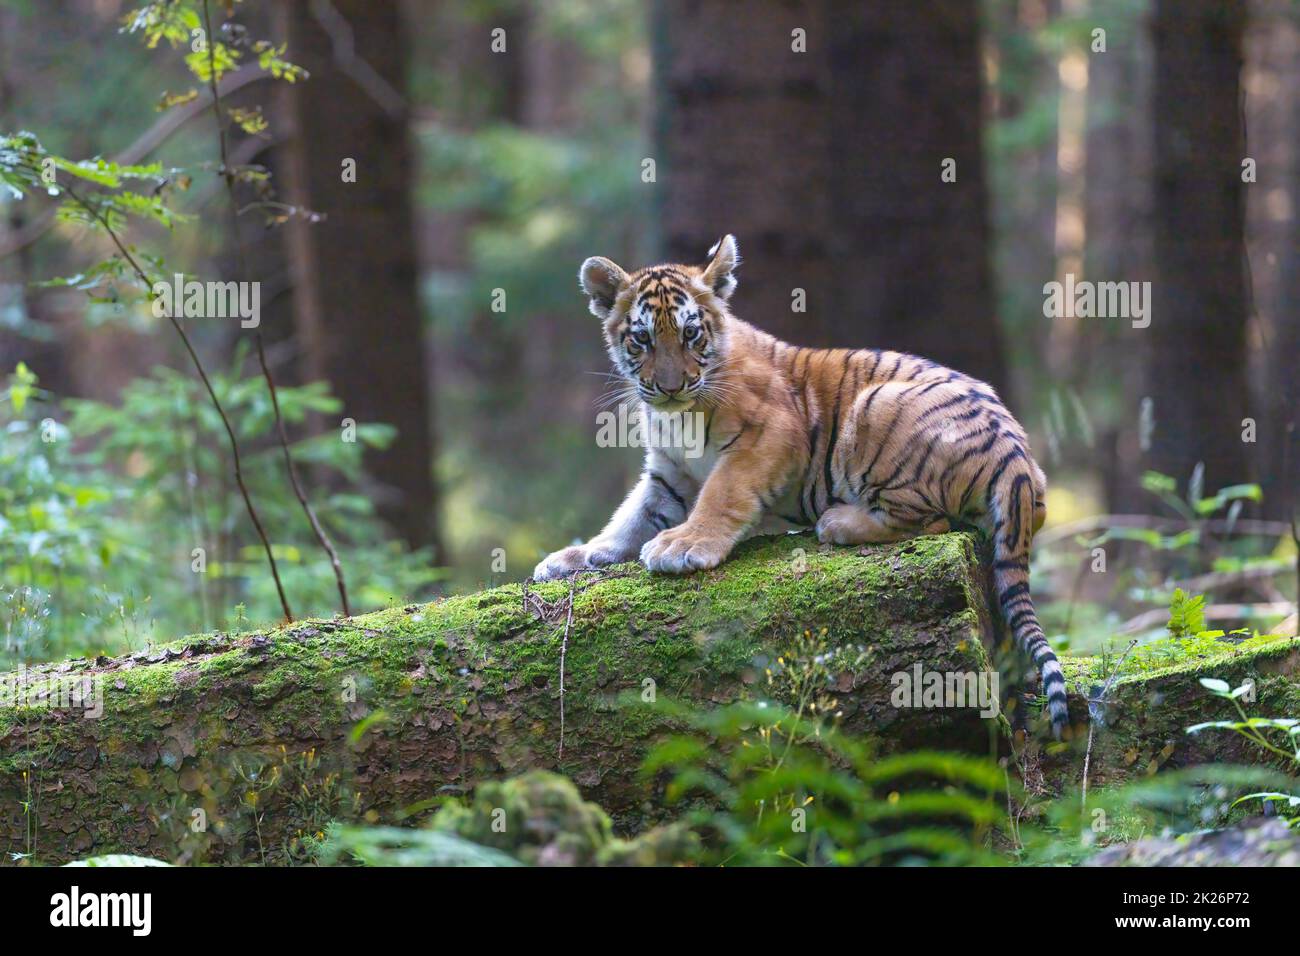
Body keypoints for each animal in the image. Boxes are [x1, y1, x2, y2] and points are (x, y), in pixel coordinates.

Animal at [533, 235, 1068, 736]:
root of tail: (1021, 462)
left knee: (931, 518)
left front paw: (683, 546)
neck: (676, 416)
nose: (669, 387)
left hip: (876, 404)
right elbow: (627, 520)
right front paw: (573, 558)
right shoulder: (668, 475)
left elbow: (721, 494)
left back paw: (837, 522)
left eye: (691, 333)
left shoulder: (768, 436)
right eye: (642, 339)